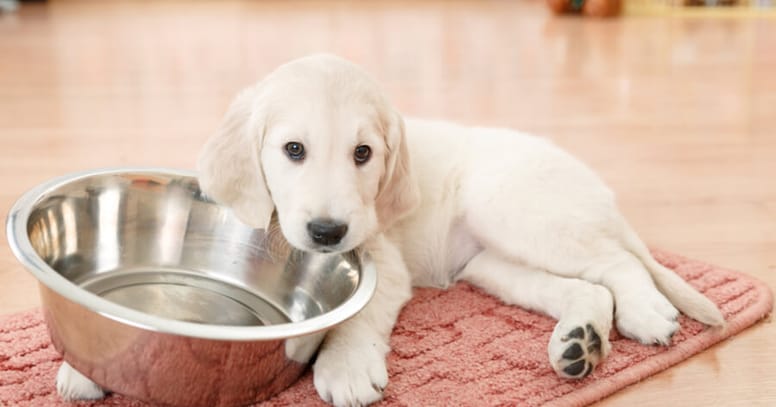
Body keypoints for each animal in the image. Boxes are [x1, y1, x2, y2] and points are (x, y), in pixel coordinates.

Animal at [57, 55, 724, 407]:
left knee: (619, 263)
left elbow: (355, 317)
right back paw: (579, 343)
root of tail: (598, 191)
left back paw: (646, 313)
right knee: (587, 287)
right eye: (293, 149)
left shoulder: (383, 262)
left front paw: (347, 367)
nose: (327, 232)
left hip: (513, 207)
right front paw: (88, 363)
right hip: (490, 266)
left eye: (363, 154)